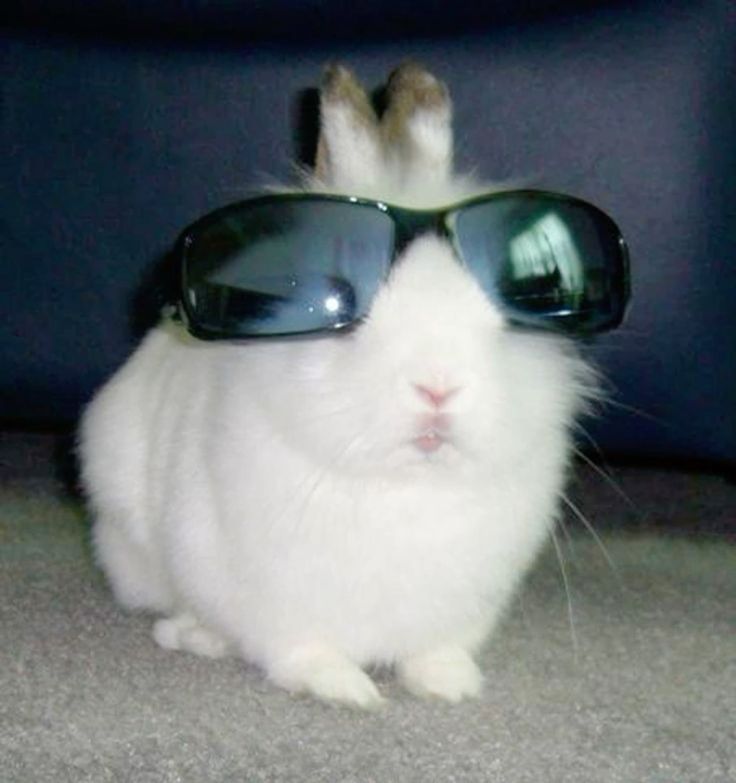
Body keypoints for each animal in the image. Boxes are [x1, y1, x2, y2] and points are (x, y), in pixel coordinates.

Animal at [79, 63, 597, 709]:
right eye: (352, 314)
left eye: (500, 318)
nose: (439, 387)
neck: (404, 487)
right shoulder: (274, 599)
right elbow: (300, 649)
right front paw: (346, 690)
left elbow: (435, 651)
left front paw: (450, 685)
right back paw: (190, 634)